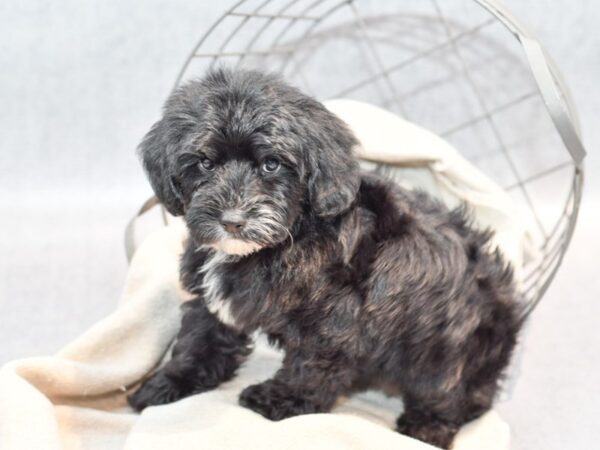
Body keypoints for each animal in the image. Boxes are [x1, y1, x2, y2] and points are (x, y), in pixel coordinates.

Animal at [127, 67, 520, 450]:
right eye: (205, 164)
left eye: (271, 165)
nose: (233, 220)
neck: (288, 236)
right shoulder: (213, 298)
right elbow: (201, 338)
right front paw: (167, 385)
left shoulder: (335, 320)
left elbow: (311, 365)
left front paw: (276, 401)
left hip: (444, 348)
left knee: (446, 391)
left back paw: (426, 428)